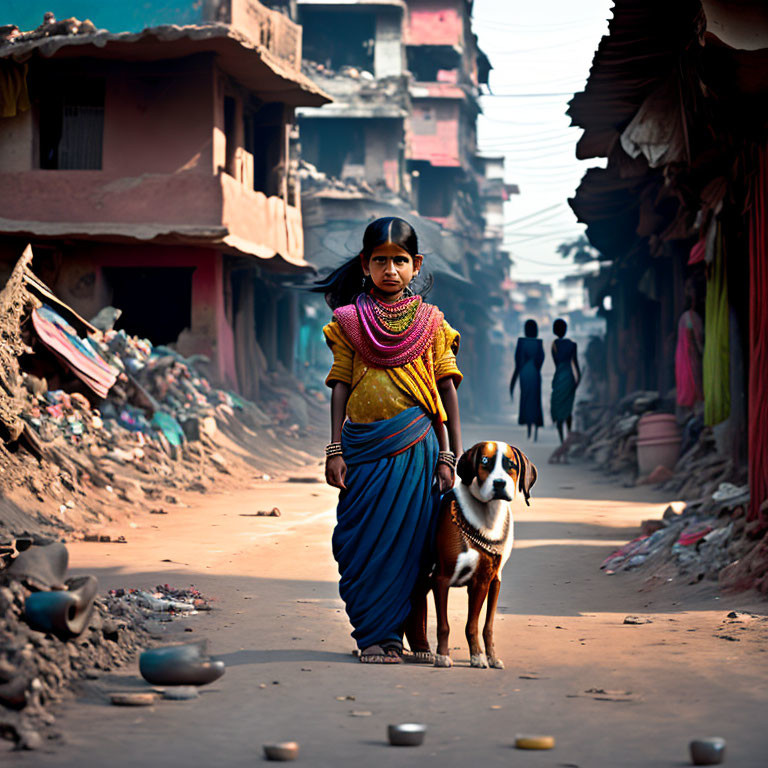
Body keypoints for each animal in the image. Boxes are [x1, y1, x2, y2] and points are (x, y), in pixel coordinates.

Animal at [432, 440, 536, 668]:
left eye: (511, 465)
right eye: (485, 462)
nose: (499, 484)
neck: (487, 516)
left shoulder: (487, 581)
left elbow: (483, 625)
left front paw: (485, 656)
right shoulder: (441, 579)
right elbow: (445, 625)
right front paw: (443, 656)